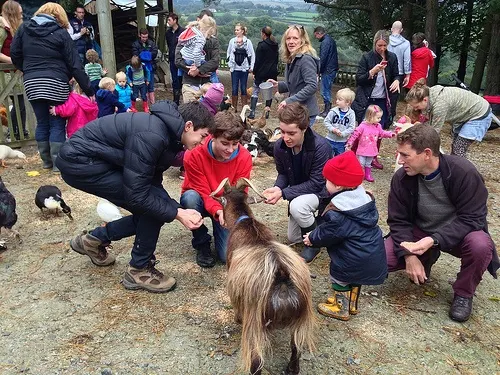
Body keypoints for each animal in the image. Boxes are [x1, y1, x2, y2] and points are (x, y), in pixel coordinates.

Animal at [211, 178, 316, 374]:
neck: (244, 222)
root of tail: (281, 277)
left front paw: (236, 319)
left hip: (255, 324)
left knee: (256, 362)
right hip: (300, 319)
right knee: (296, 347)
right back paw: (291, 369)